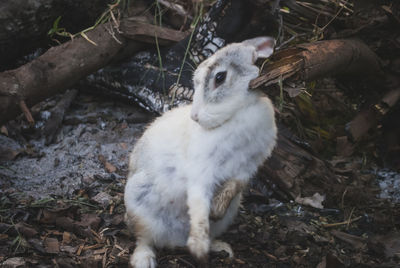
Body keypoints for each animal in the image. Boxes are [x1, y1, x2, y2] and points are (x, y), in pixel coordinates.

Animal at [125, 36, 278, 268]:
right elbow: (198, 205)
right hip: (139, 205)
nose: (195, 117)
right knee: (143, 238)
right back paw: (146, 259)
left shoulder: (247, 167)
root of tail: (175, 240)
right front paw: (199, 248)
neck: (240, 110)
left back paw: (219, 247)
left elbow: (233, 186)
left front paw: (216, 211)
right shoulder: (202, 172)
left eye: (220, 77)